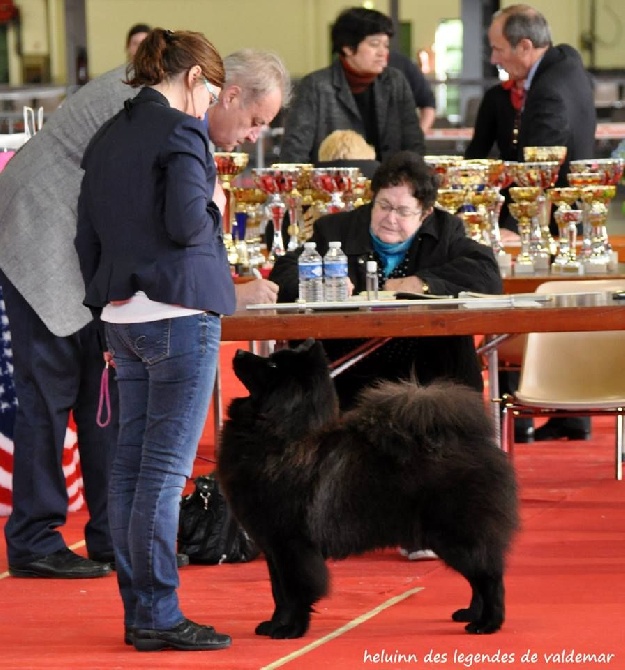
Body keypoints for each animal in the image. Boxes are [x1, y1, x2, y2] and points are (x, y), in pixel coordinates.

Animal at [217, 342, 520, 640]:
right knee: (479, 578)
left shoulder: (293, 544)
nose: (239, 351)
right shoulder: (273, 547)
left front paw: (292, 629)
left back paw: (488, 623)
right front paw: (273, 625)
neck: (280, 435)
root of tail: (479, 446)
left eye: (271, 365)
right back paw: (471, 614)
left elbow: (296, 592)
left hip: (455, 536)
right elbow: (278, 593)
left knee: (489, 577)